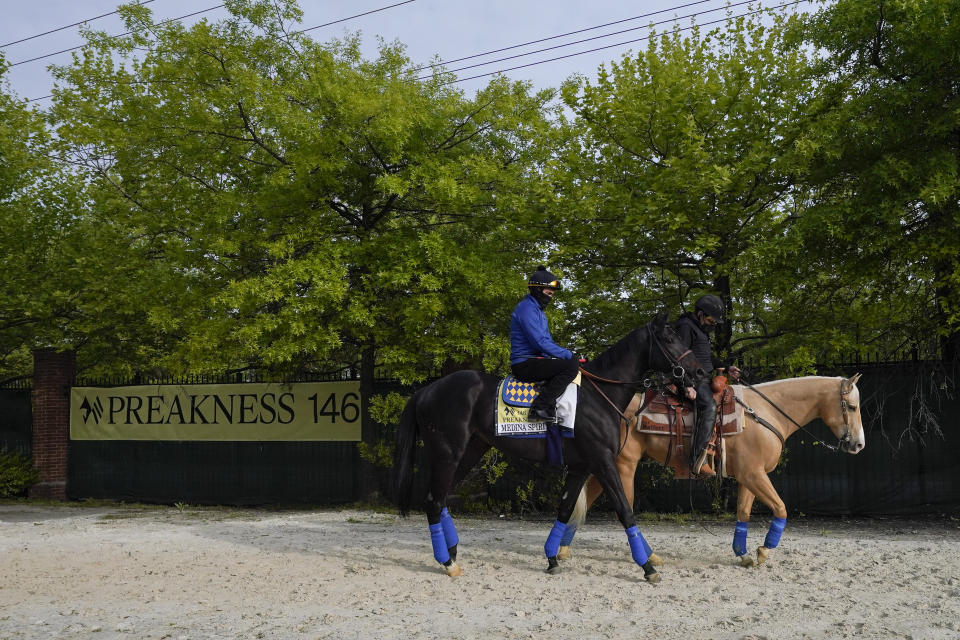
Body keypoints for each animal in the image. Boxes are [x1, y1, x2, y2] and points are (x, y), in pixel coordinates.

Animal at [394, 312, 700, 584]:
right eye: (670, 338)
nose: (698, 371)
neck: (599, 395)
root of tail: (427, 390)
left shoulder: (581, 467)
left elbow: (565, 509)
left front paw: (552, 558)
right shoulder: (603, 462)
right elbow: (625, 510)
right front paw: (647, 567)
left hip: (468, 453)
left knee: (440, 497)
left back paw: (452, 551)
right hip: (448, 454)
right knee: (434, 502)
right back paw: (447, 562)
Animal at [560, 376, 868, 564]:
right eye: (852, 407)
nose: (859, 445)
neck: (764, 413)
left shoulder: (748, 476)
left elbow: (743, 512)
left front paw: (743, 554)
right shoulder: (754, 475)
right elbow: (781, 508)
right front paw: (764, 551)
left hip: (607, 466)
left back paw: (562, 550)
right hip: (624, 466)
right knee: (624, 509)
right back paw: (648, 557)